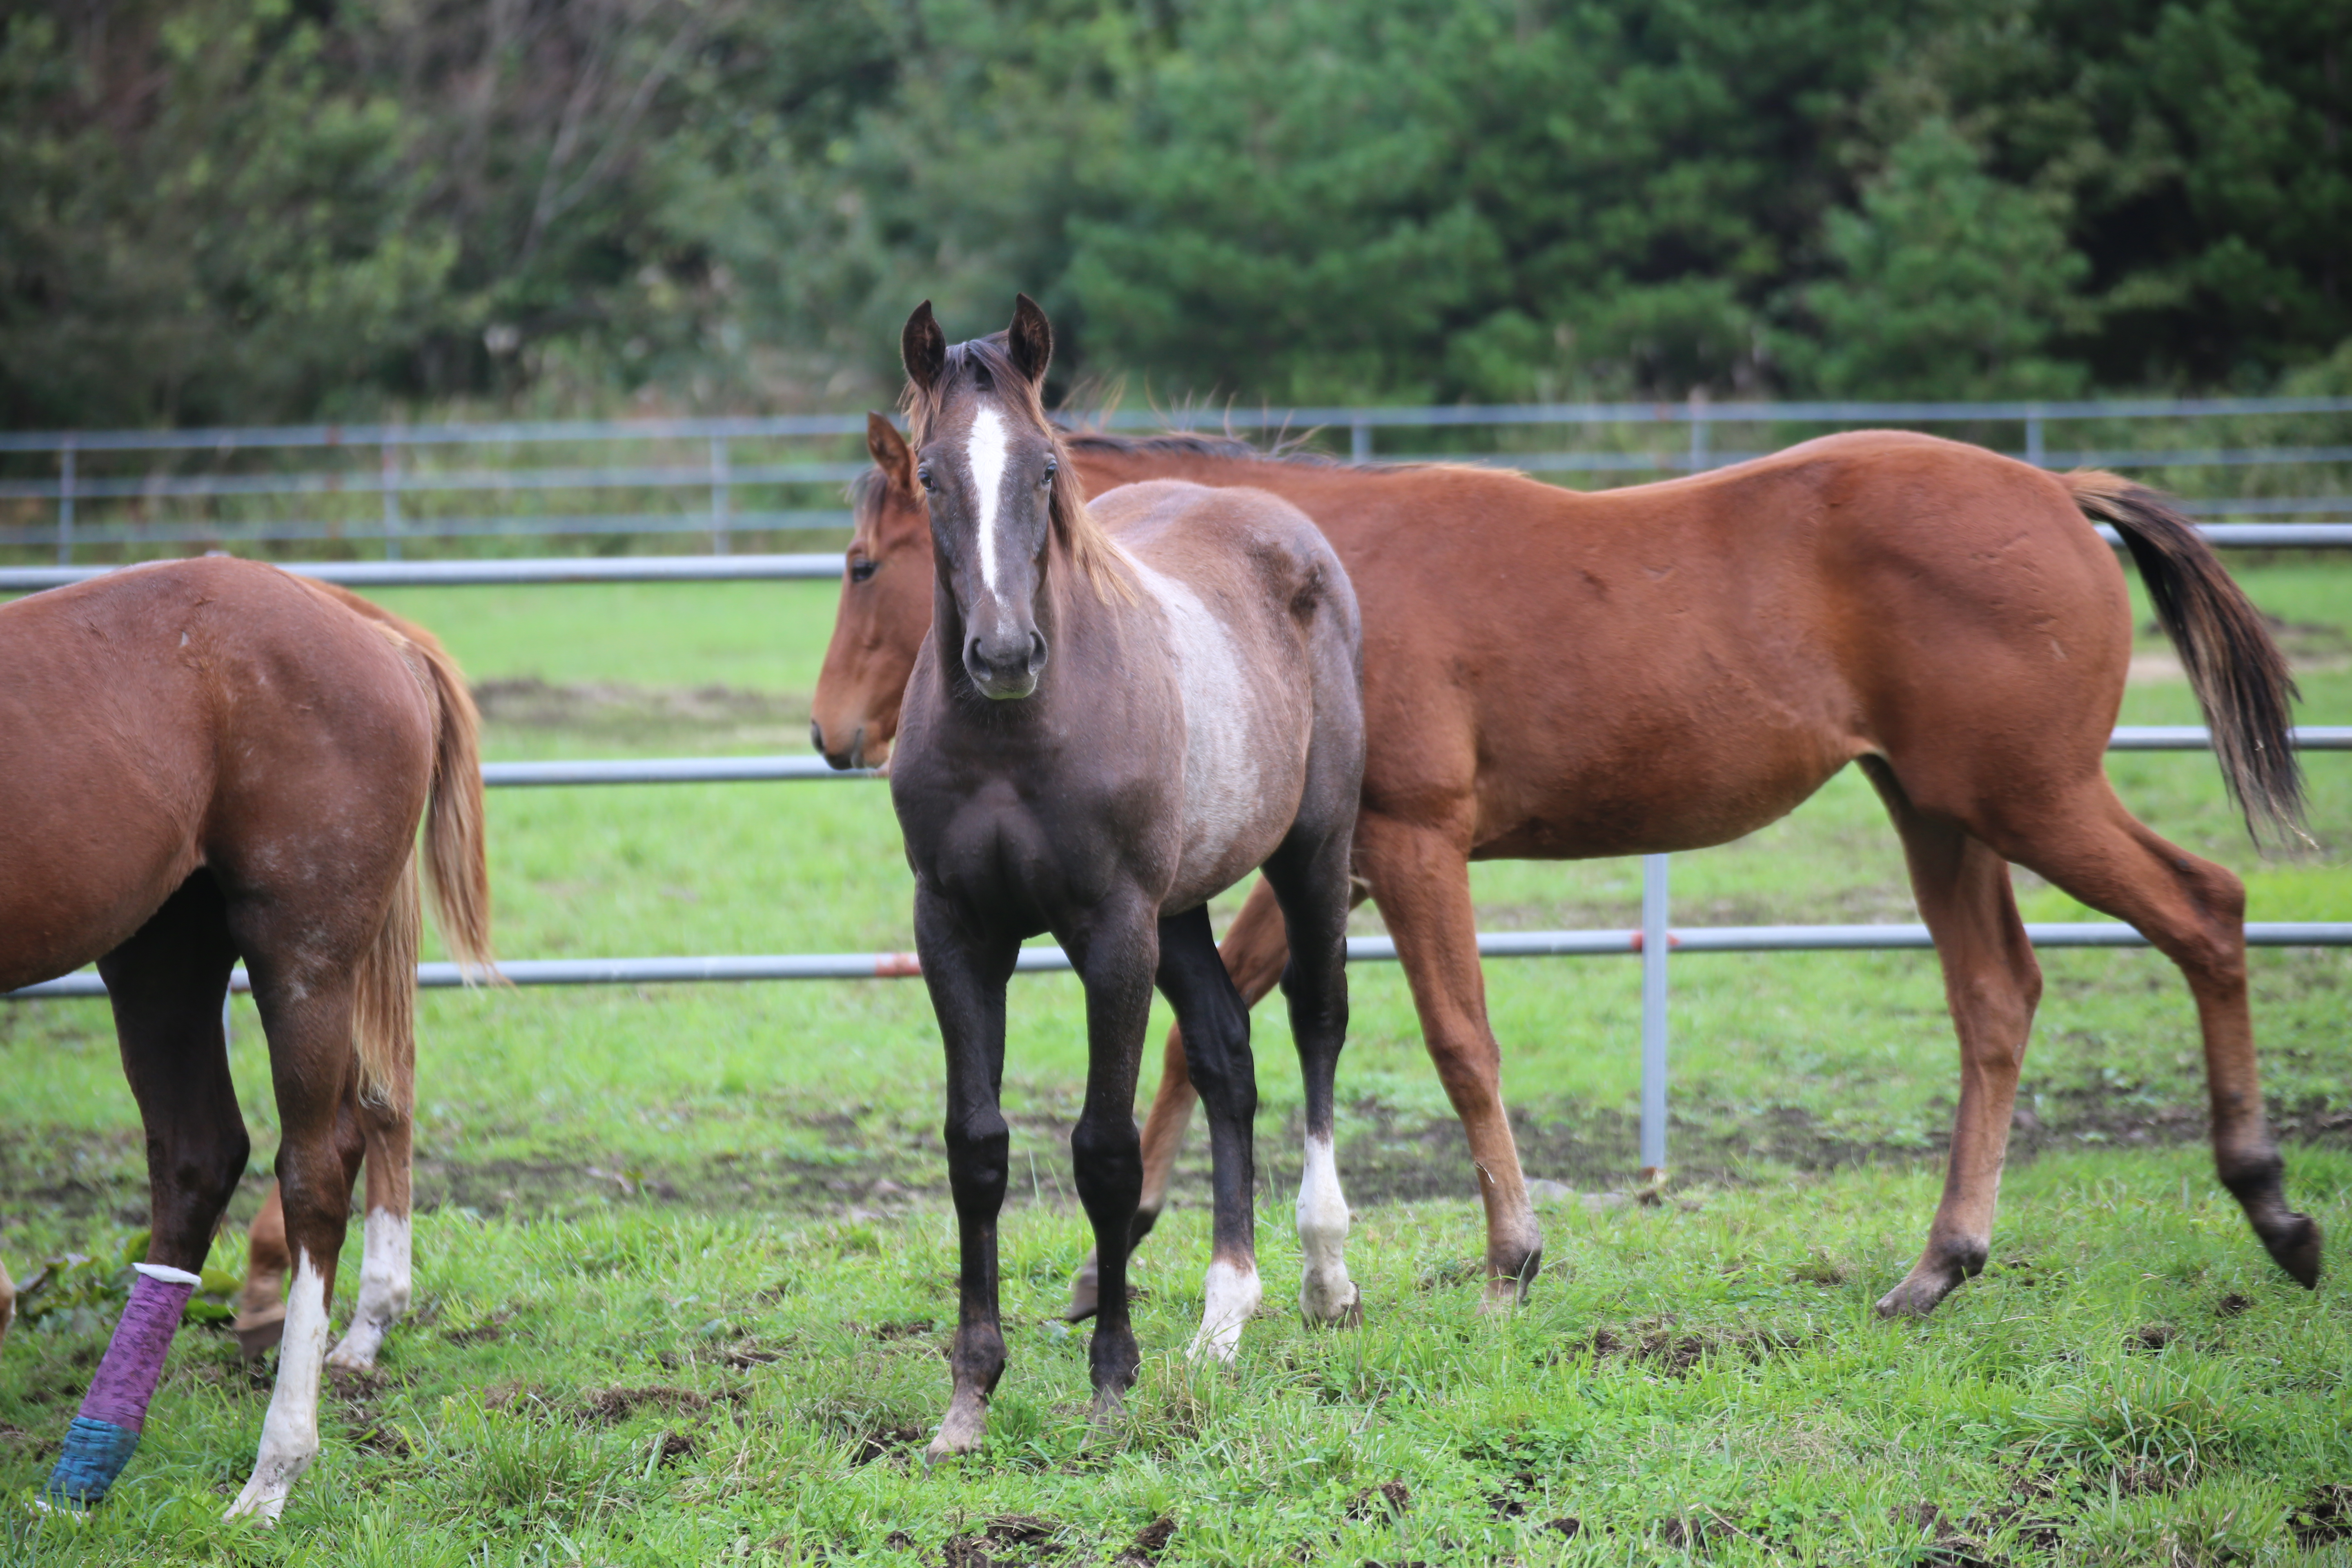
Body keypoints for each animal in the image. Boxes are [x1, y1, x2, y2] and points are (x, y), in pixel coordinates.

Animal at [3, 555, 491, 1523]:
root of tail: (379, 640)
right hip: (161, 949)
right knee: (204, 1154)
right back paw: (88, 1465)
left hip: (301, 946)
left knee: (316, 1167)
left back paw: (274, 1470)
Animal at [823, 421, 2314, 1326]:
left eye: (860, 562)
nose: (836, 734)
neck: (1286, 577)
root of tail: (2057, 493)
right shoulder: (1327, 871)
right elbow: (1212, 1038)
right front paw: (1112, 1262)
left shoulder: (1408, 848)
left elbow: (1458, 1041)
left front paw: (1510, 1257)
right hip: (1939, 813)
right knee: (1998, 998)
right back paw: (1939, 1265)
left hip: (2028, 800)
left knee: (2206, 914)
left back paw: (2270, 1200)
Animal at [884, 297, 1364, 1457]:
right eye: (929, 473)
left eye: (1048, 467)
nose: (1004, 654)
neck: (1014, 739)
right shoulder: (954, 929)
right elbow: (977, 1148)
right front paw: (969, 1397)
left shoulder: (1110, 929)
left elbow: (1104, 1150)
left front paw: (1110, 1384)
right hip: (1181, 908)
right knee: (1228, 1054)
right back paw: (1223, 1316)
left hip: (1309, 854)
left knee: (1317, 1021)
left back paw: (1325, 1275)